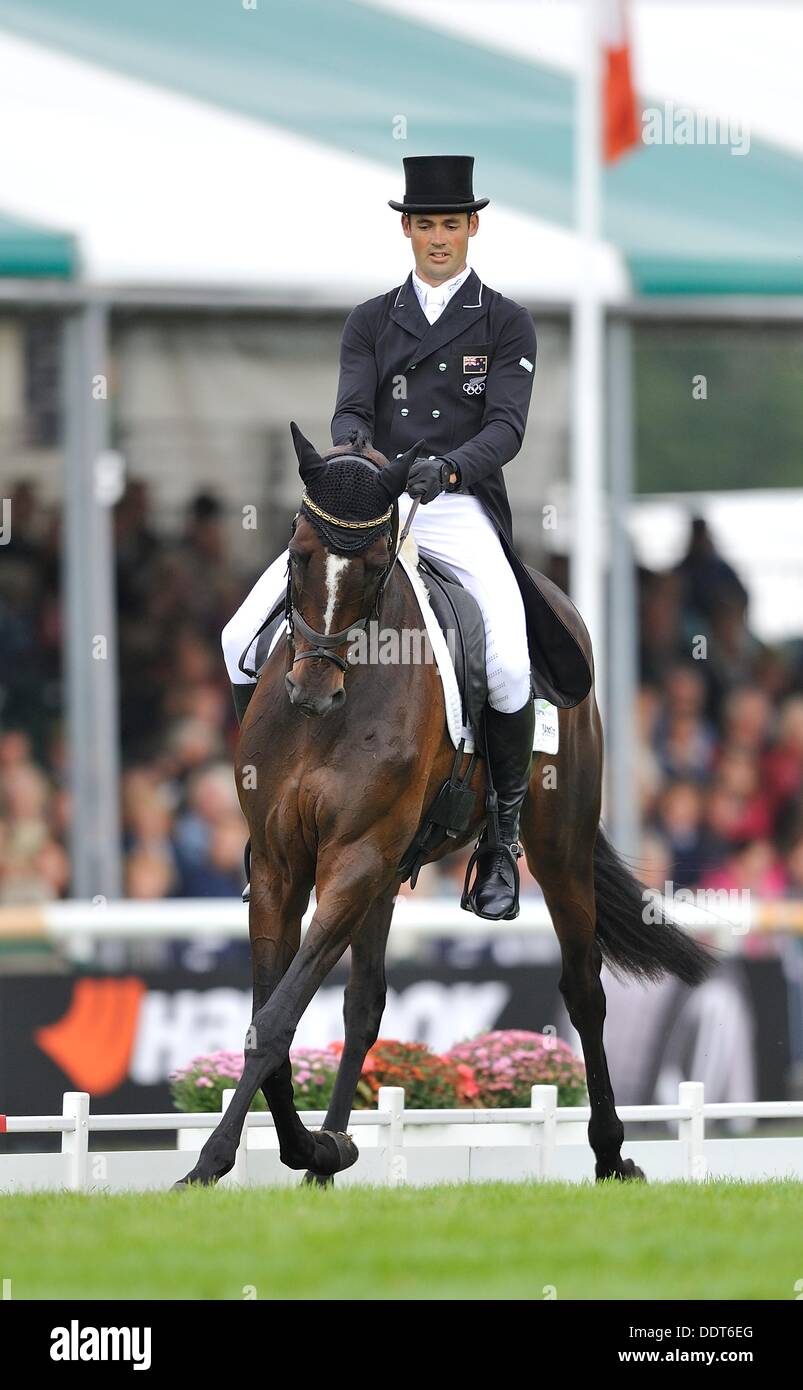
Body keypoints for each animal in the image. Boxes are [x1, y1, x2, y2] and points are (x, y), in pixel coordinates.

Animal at [176, 428, 711, 1189]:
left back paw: (611, 1153)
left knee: (584, 990)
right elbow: (270, 1016)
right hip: (383, 878)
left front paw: (214, 1161)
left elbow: (277, 1020)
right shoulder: (284, 865)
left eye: (373, 567)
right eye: (299, 554)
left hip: (556, 849)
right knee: (364, 1003)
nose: (311, 691)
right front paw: (308, 1148)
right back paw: (330, 1155)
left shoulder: (355, 858)